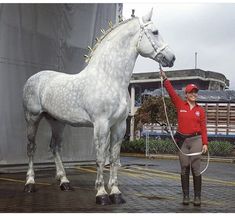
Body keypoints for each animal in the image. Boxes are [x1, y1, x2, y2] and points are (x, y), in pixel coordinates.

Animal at [22, 8, 174, 205]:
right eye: (155, 32)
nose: (171, 58)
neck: (109, 77)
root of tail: (33, 78)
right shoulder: (101, 125)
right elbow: (101, 158)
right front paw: (101, 193)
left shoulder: (119, 126)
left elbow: (114, 158)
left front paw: (115, 193)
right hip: (32, 118)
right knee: (31, 148)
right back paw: (30, 183)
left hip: (57, 122)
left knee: (55, 147)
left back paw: (64, 182)